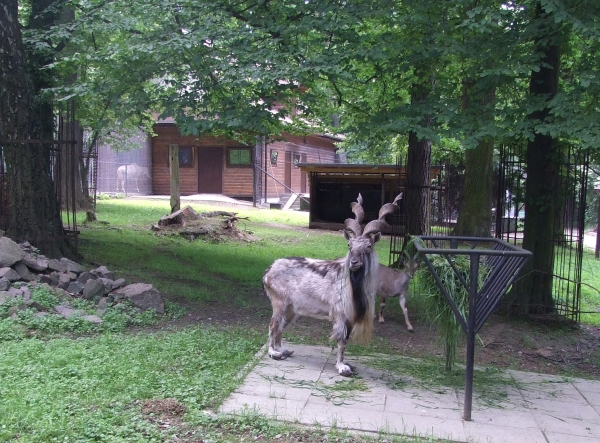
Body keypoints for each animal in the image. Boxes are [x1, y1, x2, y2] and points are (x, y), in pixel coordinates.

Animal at [262, 195, 398, 378]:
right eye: (350, 245)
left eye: (368, 247)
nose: (354, 262)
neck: (352, 287)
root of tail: (268, 271)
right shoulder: (340, 315)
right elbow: (341, 341)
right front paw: (342, 368)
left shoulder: (351, 318)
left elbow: (346, 340)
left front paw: (347, 364)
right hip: (279, 302)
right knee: (273, 325)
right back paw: (273, 353)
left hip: (291, 308)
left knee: (281, 327)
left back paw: (282, 350)